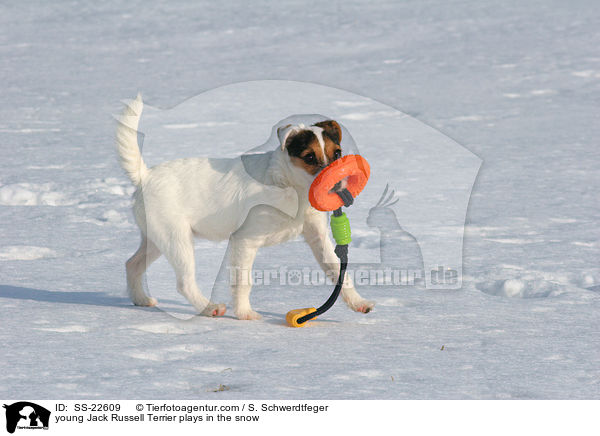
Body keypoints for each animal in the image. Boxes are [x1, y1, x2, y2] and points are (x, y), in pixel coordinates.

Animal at [115, 95, 372, 320]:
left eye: (337, 153)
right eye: (309, 157)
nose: (337, 185)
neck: (289, 186)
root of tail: (145, 176)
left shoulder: (317, 237)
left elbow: (339, 272)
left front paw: (359, 303)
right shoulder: (245, 240)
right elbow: (243, 280)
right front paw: (245, 314)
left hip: (155, 239)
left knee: (132, 265)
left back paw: (141, 299)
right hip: (176, 239)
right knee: (184, 282)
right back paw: (210, 308)